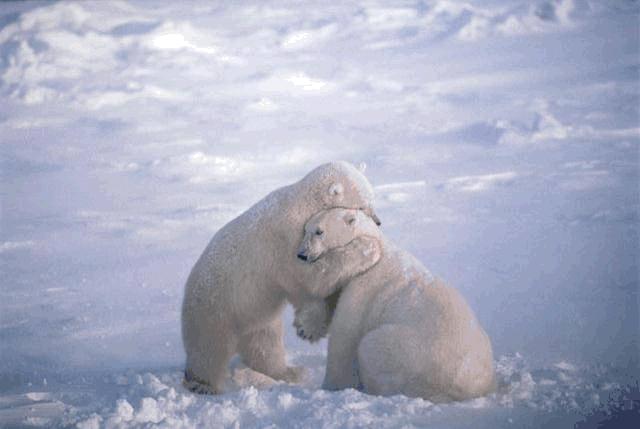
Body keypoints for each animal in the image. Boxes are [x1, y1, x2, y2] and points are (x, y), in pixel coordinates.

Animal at [180, 161, 380, 394]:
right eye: (363, 205)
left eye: (371, 199)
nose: (378, 222)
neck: (303, 203)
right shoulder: (287, 239)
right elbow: (311, 275)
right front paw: (368, 248)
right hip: (214, 307)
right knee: (208, 349)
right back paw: (202, 385)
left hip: (255, 313)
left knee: (264, 344)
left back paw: (290, 372)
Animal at [296, 207, 496, 402]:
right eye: (305, 229)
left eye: (319, 231)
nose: (301, 255)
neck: (377, 246)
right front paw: (307, 327)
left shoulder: (364, 287)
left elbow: (345, 334)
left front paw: (332, 386)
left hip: (411, 353)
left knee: (370, 347)